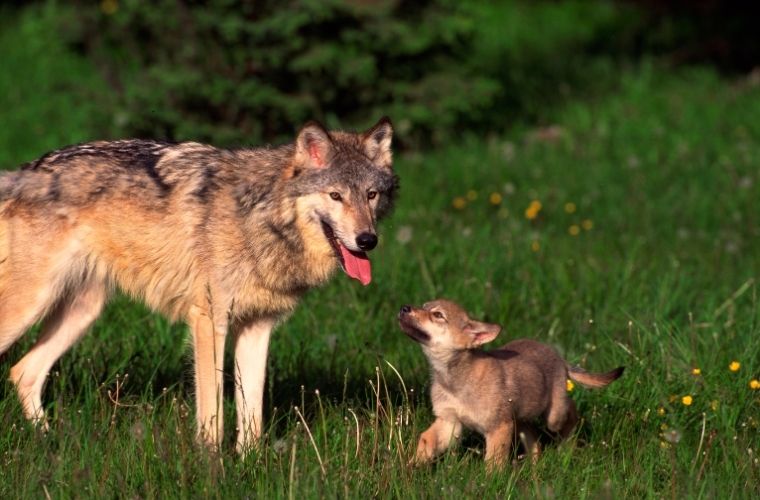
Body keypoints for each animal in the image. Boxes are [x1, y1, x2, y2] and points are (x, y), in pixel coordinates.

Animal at [1, 118, 398, 454]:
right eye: (336, 196)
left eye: (371, 195)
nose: (367, 240)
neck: (260, 218)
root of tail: (24, 171)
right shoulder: (209, 321)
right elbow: (212, 414)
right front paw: (211, 466)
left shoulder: (257, 328)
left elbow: (252, 414)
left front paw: (250, 465)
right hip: (30, 308)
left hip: (82, 313)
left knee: (23, 372)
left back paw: (51, 442)